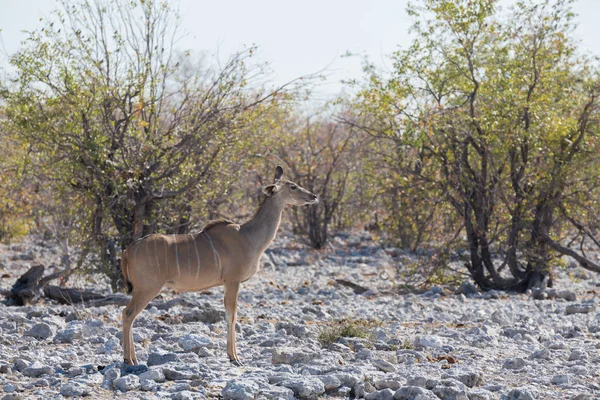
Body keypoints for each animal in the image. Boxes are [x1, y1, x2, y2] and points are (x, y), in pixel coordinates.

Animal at [120, 166, 318, 366]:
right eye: (293, 186)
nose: (313, 196)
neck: (249, 236)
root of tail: (128, 250)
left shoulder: (227, 283)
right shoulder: (232, 280)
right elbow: (231, 315)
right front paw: (234, 357)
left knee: (129, 314)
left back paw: (132, 358)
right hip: (148, 288)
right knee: (127, 313)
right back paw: (129, 359)